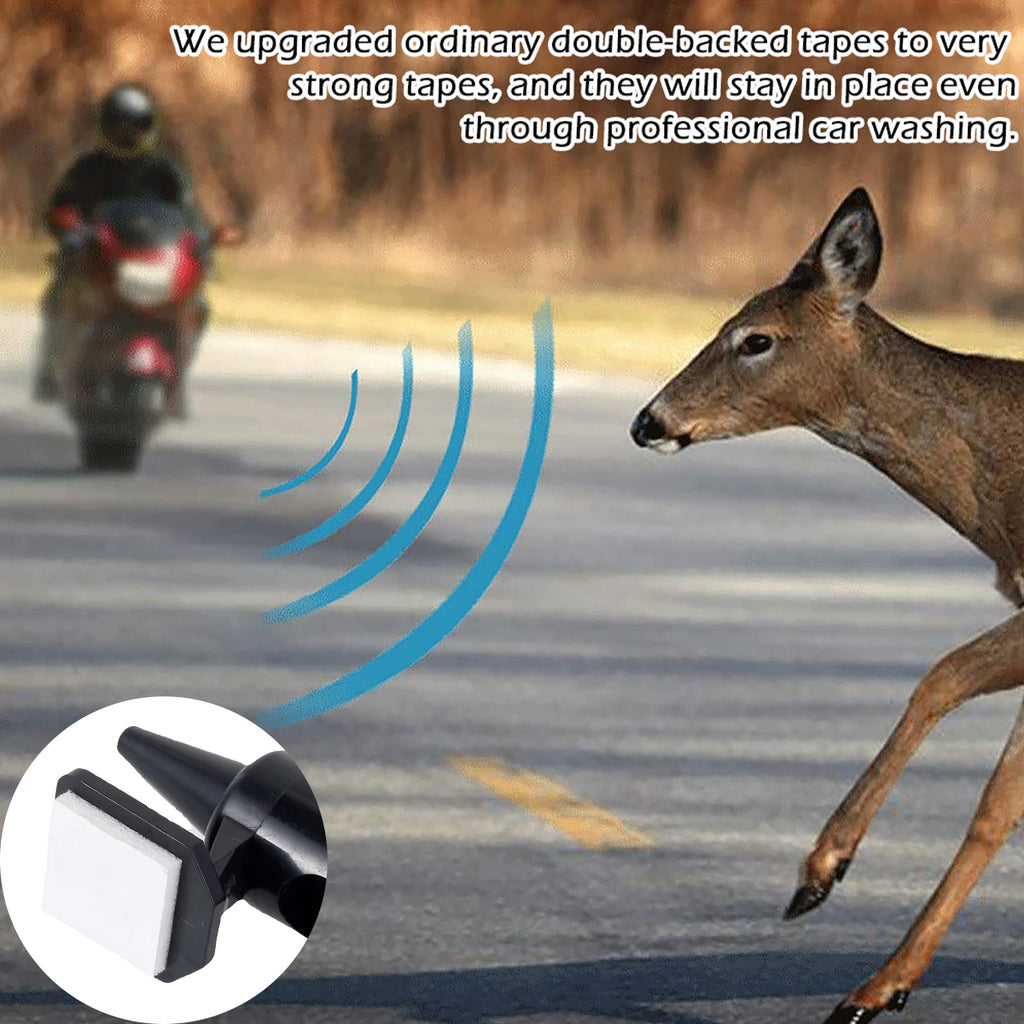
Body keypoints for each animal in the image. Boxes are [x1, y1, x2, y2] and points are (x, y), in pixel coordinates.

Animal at [630, 187, 1024, 1024]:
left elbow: (968, 741)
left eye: (756, 338)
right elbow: (970, 741)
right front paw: (845, 924)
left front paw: (855, 938)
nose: (648, 419)